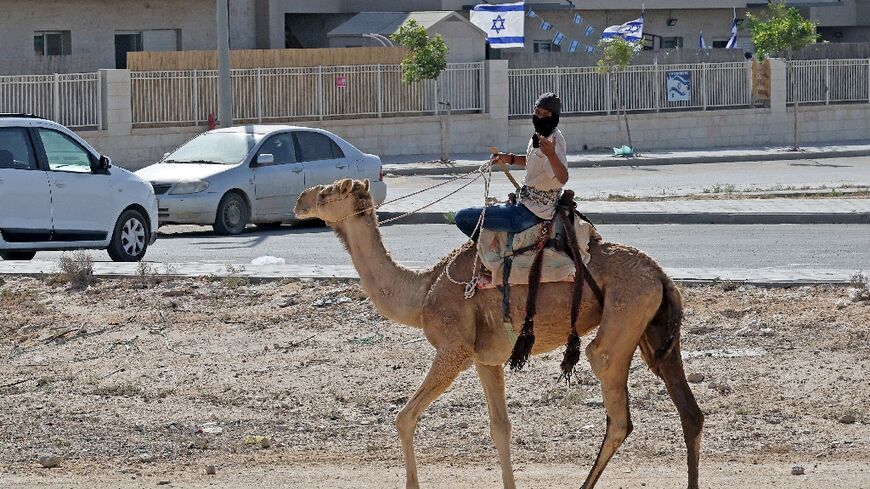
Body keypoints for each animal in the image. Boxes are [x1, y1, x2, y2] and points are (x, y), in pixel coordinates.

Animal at [296, 179, 704, 488]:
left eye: (326, 193)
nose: (300, 200)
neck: (422, 291)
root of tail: (660, 274)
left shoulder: (454, 349)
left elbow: (404, 417)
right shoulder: (485, 358)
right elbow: (500, 428)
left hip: (623, 315)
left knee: (614, 402)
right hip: (652, 328)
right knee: (690, 411)